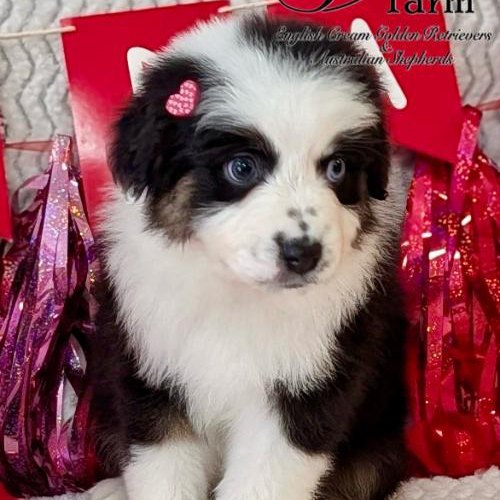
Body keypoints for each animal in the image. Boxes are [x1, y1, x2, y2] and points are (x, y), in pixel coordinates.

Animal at [89, 12, 409, 500]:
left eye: (336, 168)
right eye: (241, 167)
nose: (304, 253)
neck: (236, 293)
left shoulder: (309, 382)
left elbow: (265, 478)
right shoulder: (150, 370)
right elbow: (162, 469)